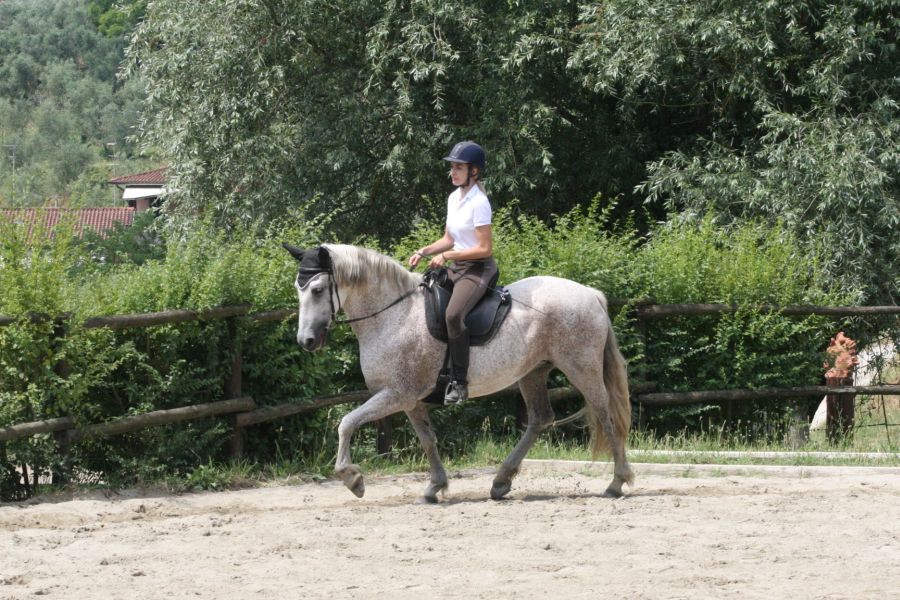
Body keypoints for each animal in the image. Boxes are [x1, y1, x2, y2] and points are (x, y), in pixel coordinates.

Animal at [284, 244, 632, 502]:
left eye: (317, 289)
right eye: (297, 289)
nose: (306, 341)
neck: (393, 315)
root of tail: (590, 294)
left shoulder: (396, 394)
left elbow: (346, 423)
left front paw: (352, 479)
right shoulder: (411, 401)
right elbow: (427, 440)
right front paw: (434, 487)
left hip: (581, 367)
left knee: (605, 413)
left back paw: (617, 482)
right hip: (533, 372)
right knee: (540, 419)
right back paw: (501, 482)